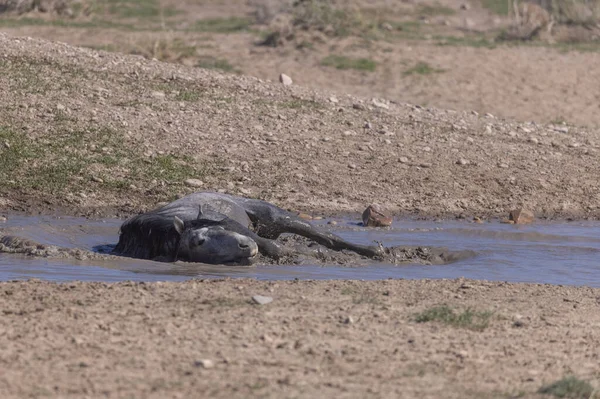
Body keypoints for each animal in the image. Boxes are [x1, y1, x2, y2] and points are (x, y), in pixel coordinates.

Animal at [112, 193, 384, 266]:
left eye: (217, 226)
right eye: (197, 243)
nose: (245, 246)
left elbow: (276, 248)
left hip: (273, 216)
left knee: (326, 236)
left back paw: (374, 250)